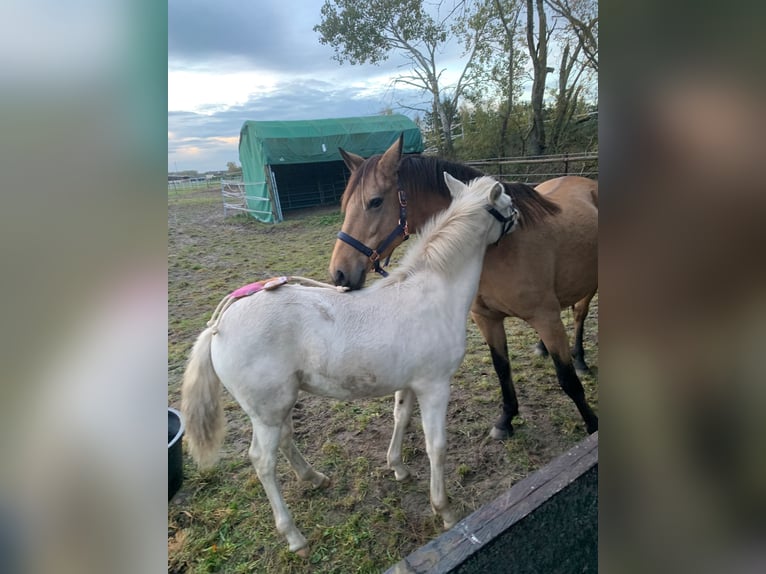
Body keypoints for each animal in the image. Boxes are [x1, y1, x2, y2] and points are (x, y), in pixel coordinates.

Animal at [180, 172, 520, 560]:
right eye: (507, 203)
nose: (521, 217)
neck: (434, 291)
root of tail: (219, 325)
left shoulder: (410, 383)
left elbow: (401, 417)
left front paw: (398, 467)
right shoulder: (435, 386)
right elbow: (437, 445)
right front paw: (444, 510)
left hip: (278, 404)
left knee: (286, 439)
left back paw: (314, 478)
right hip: (266, 411)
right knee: (263, 461)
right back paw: (294, 536)